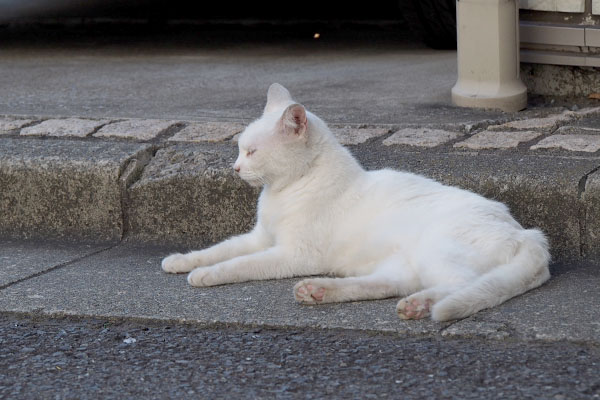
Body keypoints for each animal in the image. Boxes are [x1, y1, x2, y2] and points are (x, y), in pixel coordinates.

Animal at [162, 84, 552, 322]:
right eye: (240, 149)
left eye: (252, 152)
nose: (235, 168)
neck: (283, 191)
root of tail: (528, 234)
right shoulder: (259, 237)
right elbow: (219, 249)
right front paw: (182, 260)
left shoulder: (293, 253)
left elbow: (240, 264)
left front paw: (206, 275)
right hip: (405, 264)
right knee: (389, 284)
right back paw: (319, 291)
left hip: (437, 251)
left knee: (458, 286)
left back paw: (419, 305)